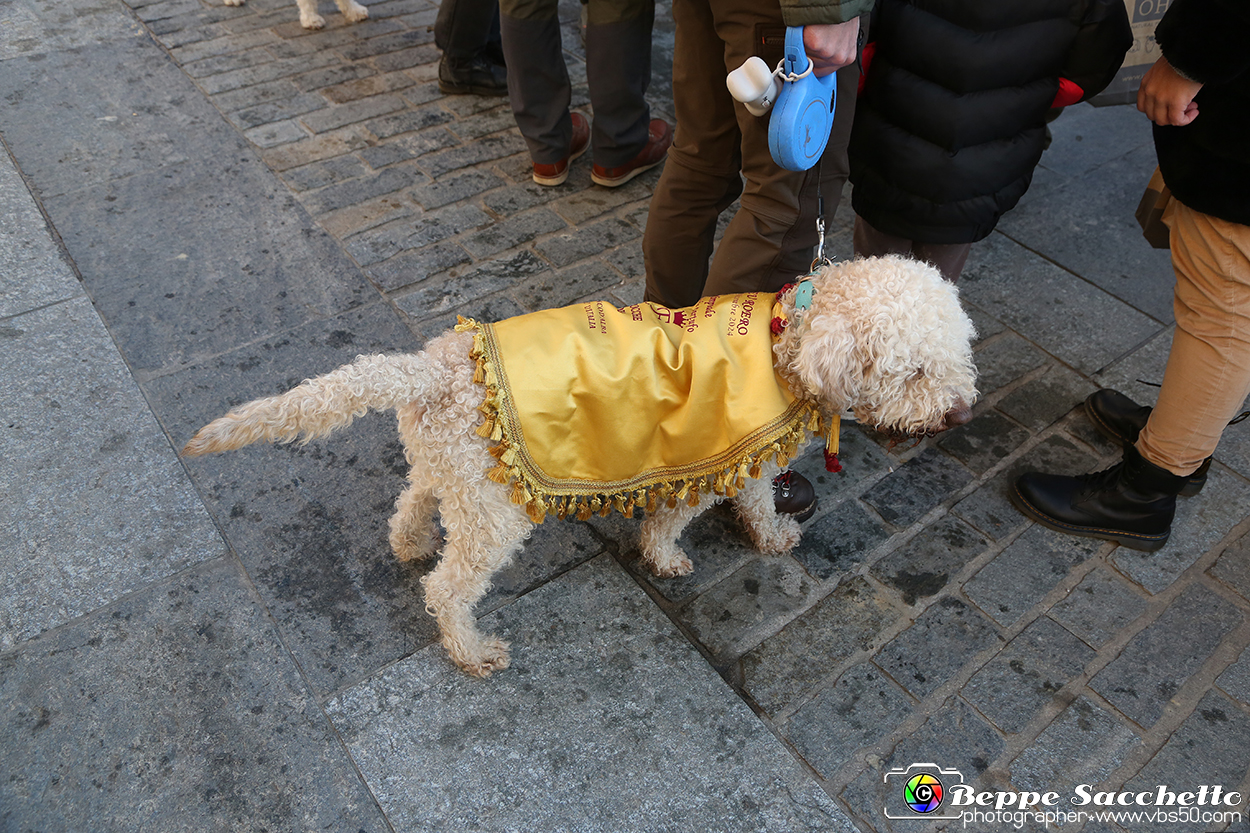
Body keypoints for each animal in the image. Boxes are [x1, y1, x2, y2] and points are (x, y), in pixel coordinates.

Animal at [185, 255, 980, 675]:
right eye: (913, 370)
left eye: (959, 354)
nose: (959, 412)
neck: (789, 337)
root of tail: (432, 371)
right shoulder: (713, 454)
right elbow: (686, 514)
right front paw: (676, 555)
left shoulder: (730, 459)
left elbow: (746, 502)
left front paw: (767, 537)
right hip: (494, 513)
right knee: (448, 587)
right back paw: (471, 648)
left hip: (453, 474)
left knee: (411, 502)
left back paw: (409, 544)